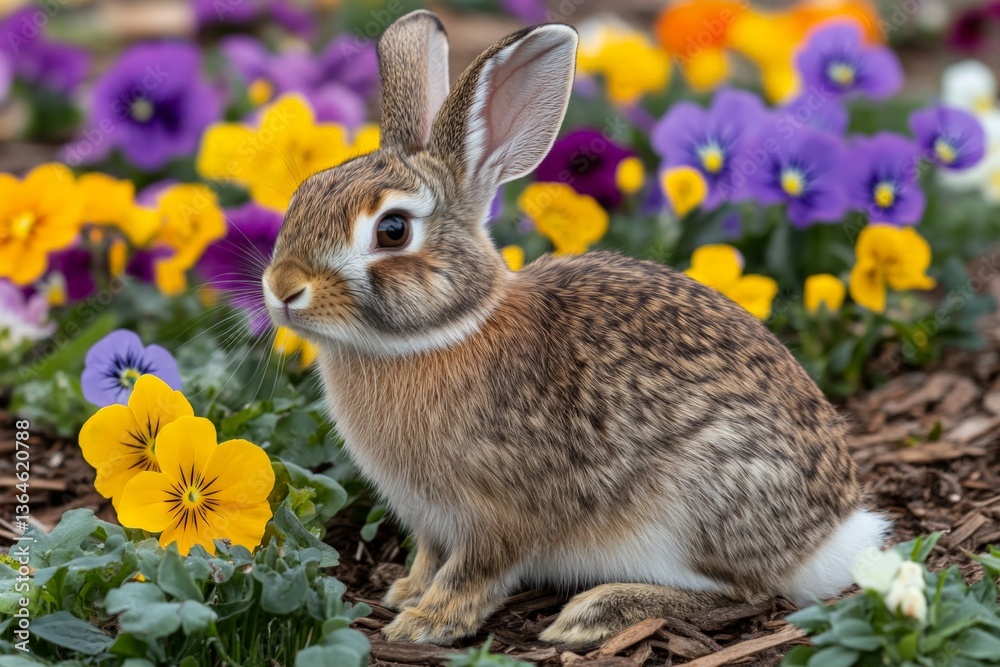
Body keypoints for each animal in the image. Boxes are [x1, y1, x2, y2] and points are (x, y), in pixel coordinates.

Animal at [262, 10, 890, 646]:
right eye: (303, 192)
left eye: (392, 230)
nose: (282, 289)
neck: (441, 333)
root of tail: (834, 538)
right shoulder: (433, 521)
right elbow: (430, 556)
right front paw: (406, 592)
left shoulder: (497, 515)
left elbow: (474, 572)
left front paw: (424, 623)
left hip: (699, 501)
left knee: (747, 594)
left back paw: (597, 612)